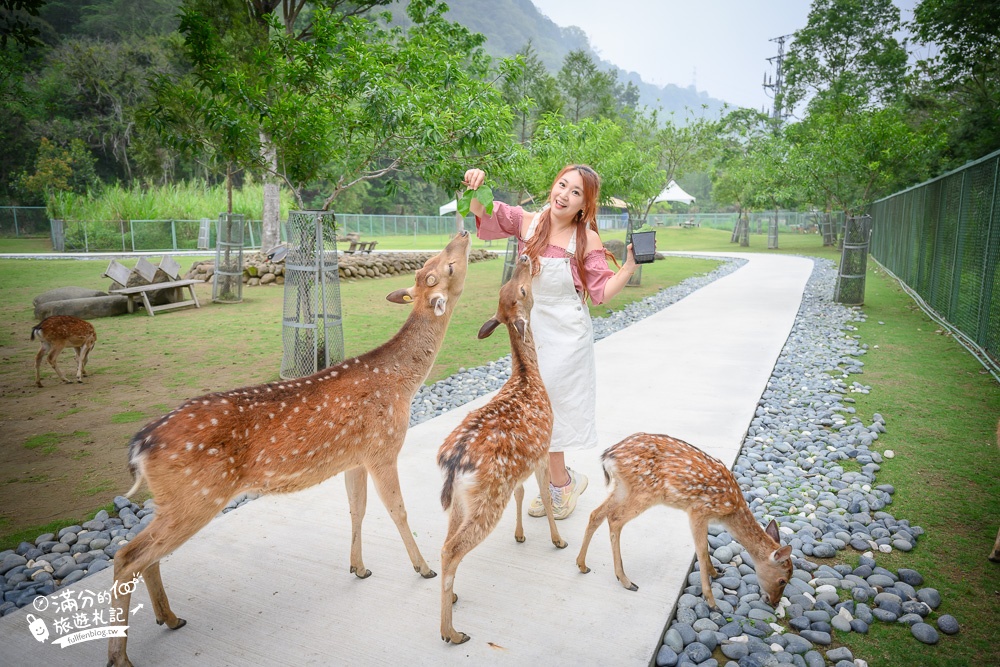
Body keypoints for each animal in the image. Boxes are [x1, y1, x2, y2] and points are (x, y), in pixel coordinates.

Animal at [107, 231, 474, 667]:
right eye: (446, 266)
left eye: (431, 264)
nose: (463, 233)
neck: (403, 384)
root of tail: (139, 444)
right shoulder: (384, 446)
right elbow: (397, 510)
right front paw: (423, 569)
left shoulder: (355, 457)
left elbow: (357, 509)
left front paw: (359, 568)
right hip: (195, 495)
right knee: (127, 555)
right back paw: (121, 656)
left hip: (173, 500)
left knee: (146, 556)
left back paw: (171, 618)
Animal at [440, 253, 572, 644]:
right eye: (524, 291)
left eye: (511, 289)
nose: (525, 257)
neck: (527, 379)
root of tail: (454, 461)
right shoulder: (542, 449)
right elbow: (544, 494)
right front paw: (558, 541)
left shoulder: (519, 467)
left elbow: (522, 492)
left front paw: (520, 535)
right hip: (487, 496)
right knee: (452, 550)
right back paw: (452, 632)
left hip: (462, 499)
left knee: (446, 543)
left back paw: (453, 597)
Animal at [576, 434, 792, 612]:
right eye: (782, 580)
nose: (774, 603)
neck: (730, 512)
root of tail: (608, 456)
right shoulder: (698, 511)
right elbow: (702, 551)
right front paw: (712, 602)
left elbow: (705, 549)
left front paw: (717, 573)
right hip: (645, 492)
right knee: (615, 519)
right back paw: (626, 580)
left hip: (623, 487)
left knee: (596, 514)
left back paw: (583, 565)